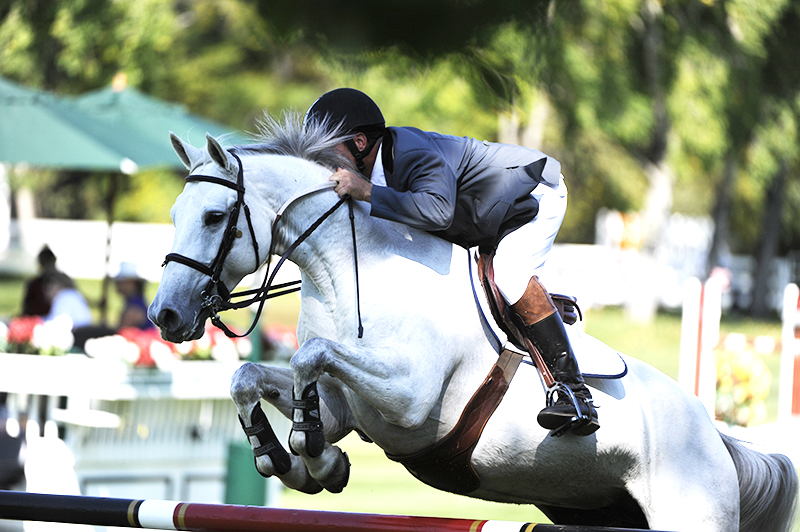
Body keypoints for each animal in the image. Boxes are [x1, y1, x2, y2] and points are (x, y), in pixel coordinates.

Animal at [148, 114, 798, 532]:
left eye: (214, 216)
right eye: (175, 212)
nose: (166, 315)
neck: (352, 269)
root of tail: (716, 437)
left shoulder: (408, 398)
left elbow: (311, 358)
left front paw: (305, 451)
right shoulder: (346, 405)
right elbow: (254, 378)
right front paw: (298, 460)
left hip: (690, 512)